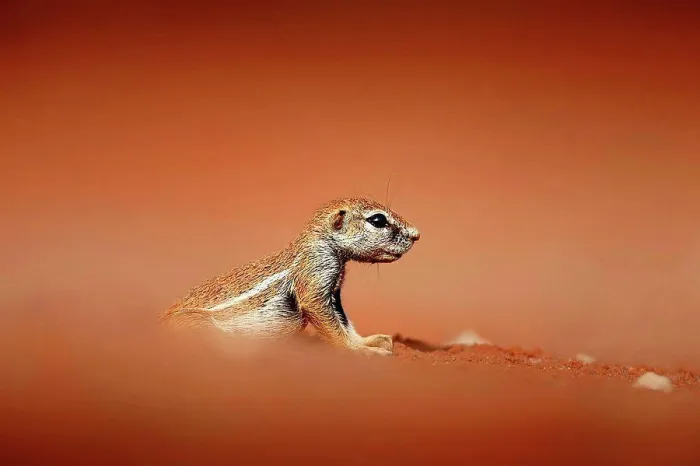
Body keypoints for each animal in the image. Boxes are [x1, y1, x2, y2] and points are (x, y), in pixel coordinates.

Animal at [160, 197, 420, 356]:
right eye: (378, 220)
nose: (417, 234)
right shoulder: (315, 274)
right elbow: (329, 321)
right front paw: (357, 350)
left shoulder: (333, 290)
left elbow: (344, 320)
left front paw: (366, 341)